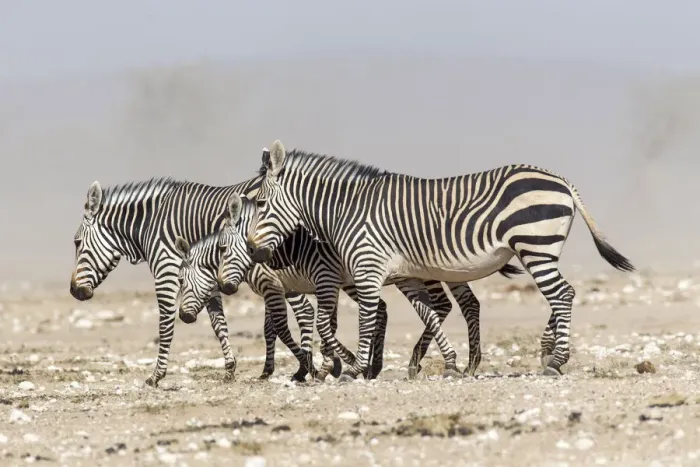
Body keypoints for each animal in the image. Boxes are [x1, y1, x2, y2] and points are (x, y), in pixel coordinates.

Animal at [69, 176, 317, 387]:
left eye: (77, 242)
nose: (73, 291)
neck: (149, 224)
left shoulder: (166, 271)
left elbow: (165, 325)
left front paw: (156, 375)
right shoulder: (207, 278)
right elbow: (219, 324)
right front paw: (230, 368)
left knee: (304, 311)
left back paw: (304, 368)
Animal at [175, 192, 524, 380]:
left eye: (180, 281)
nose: (184, 317)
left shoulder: (282, 288)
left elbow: (287, 326)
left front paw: (310, 367)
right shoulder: (293, 288)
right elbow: (280, 327)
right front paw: (296, 367)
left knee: (442, 306)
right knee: (457, 304)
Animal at [246, 140, 635, 382]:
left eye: (260, 203)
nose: (253, 251)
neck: (347, 211)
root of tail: (561, 180)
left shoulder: (368, 268)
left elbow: (364, 321)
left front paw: (354, 368)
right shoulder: (403, 274)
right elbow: (430, 315)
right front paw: (446, 364)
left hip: (534, 246)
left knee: (562, 295)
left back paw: (555, 361)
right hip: (541, 250)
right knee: (560, 296)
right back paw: (548, 352)